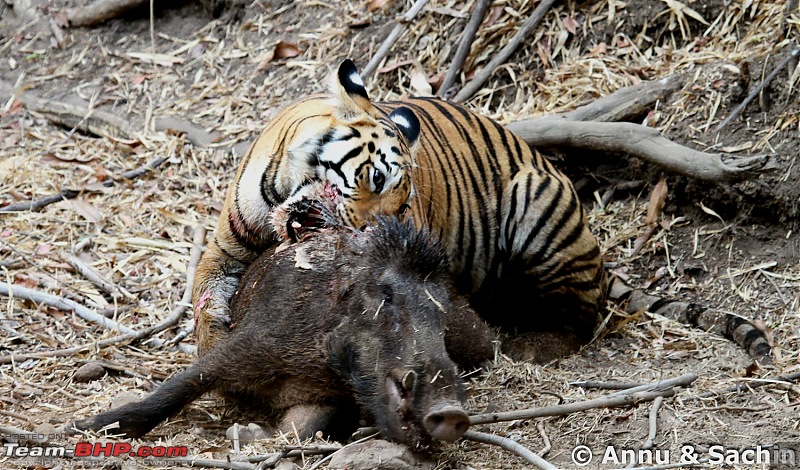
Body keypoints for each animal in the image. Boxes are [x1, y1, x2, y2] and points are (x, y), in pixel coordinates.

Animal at [191, 59, 772, 364]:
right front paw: (212, 353)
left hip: (535, 202)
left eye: (404, 204)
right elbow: (203, 304)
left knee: (581, 319)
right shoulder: (221, 251)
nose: (374, 233)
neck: (286, 187)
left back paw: (528, 345)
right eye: (375, 179)